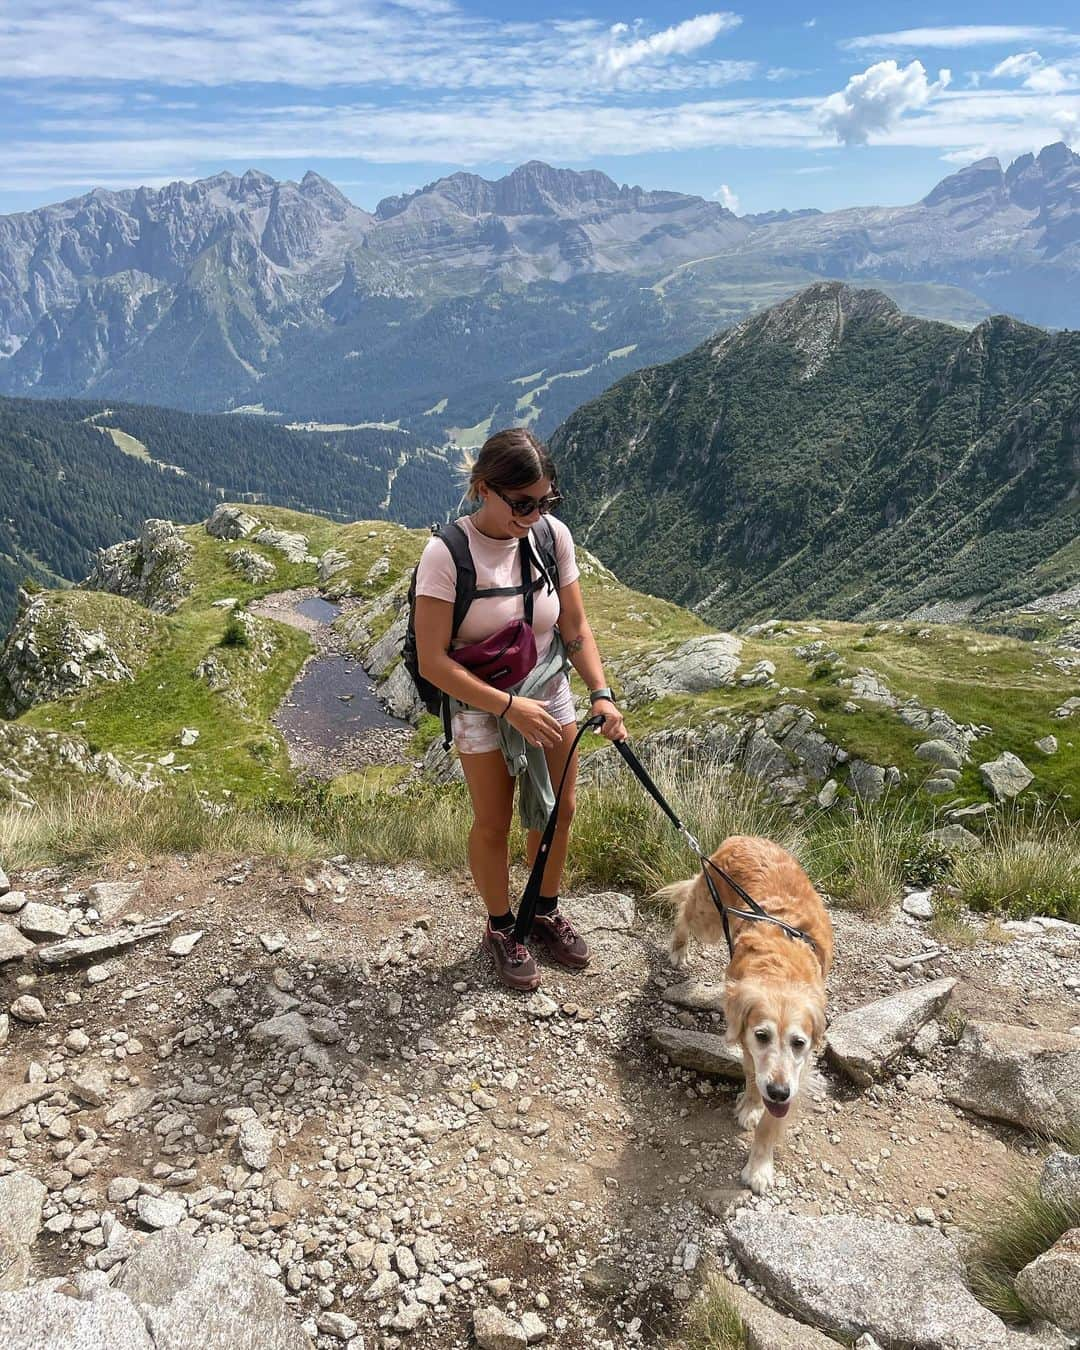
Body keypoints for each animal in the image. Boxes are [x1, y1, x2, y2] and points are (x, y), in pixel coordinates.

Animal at [653, 831, 831, 1193]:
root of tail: (743, 837)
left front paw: (759, 1165)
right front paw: (751, 1105)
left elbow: (770, 1123)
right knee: (685, 908)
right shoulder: (746, 1037)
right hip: (708, 915)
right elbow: (751, 1076)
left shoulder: (797, 1071)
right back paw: (679, 948)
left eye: (799, 1043)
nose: (777, 1092)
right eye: (762, 1035)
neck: (781, 972)